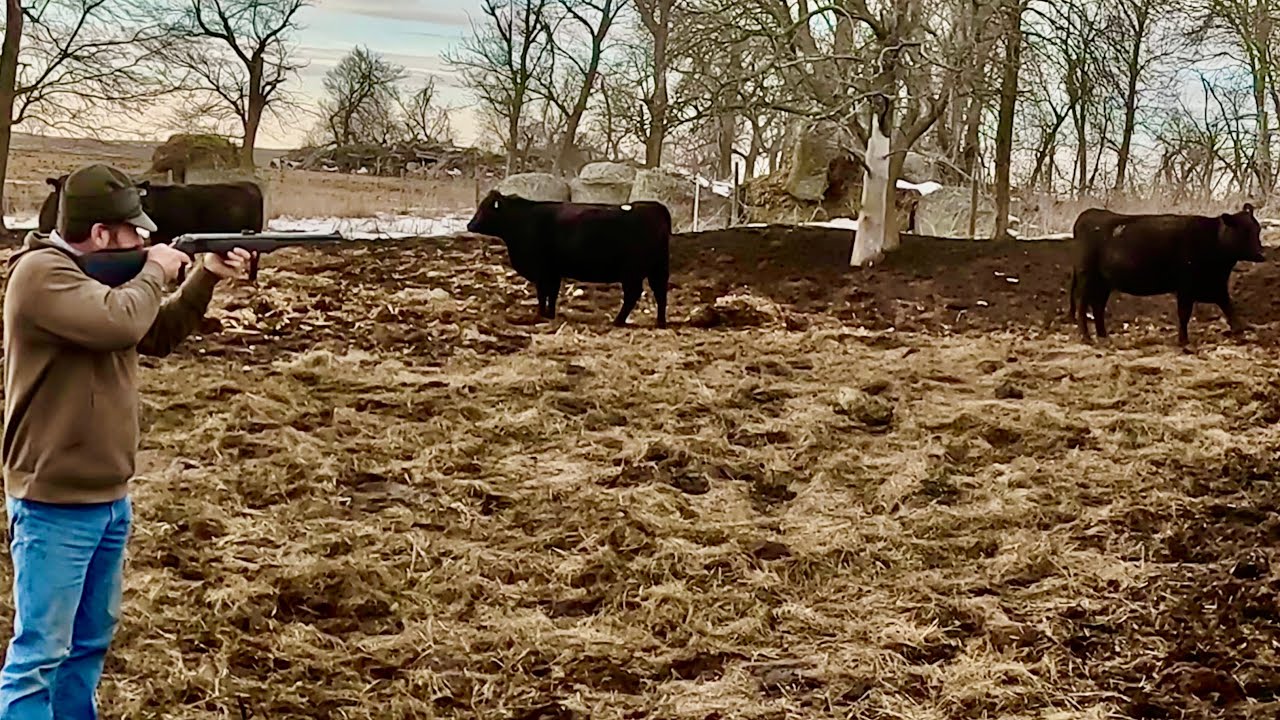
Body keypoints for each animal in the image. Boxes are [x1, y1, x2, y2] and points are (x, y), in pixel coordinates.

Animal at [466, 190, 671, 328]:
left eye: (484, 208)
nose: (469, 225)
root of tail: (655, 207)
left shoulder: (542, 270)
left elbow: (543, 293)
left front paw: (540, 314)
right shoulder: (553, 271)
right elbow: (552, 293)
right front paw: (550, 314)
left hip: (632, 271)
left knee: (633, 294)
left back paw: (618, 321)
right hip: (657, 268)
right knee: (660, 293)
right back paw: (660, 322)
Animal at [1069, 203, 1264, 346]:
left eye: (1257, 230)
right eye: (1243, 231)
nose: (1261, 254)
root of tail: (1088, 213)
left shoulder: (1216, 285)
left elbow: (1229, 307)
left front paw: (1240, 332)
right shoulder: (1186, 287)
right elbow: (1184, 314)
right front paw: (1184, 341)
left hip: (1103, 282)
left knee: (1097, 306)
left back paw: (1103, 336)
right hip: (1087, 276)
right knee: (1082, 305)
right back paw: (1086, 337)